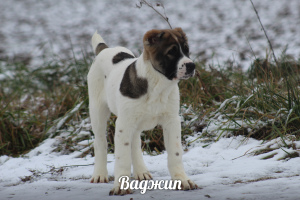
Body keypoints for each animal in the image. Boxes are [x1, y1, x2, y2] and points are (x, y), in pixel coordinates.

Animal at [88, 27, 198, 195]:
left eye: (186, 50)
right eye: (171, 52)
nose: (191, 66)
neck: (158, 84)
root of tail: (105, 49)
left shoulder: (172, 121)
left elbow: (175, 153)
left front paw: (182, 180)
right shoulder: (123, 124)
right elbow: (122, 158)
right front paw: (121, 185)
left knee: (134, 143)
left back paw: (141, 171)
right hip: (98, 112)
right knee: (100, 142)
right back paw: (100, 174)